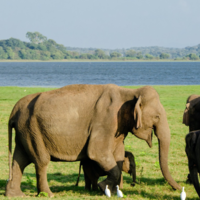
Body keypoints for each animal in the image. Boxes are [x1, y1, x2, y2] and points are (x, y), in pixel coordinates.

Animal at [4, 84, 180, 197]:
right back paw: (48, 194)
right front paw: (103, 188)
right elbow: (96, 152)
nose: (179, 189)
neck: (129, 92)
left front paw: (113, 191)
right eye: (157, 117)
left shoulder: (117, 128)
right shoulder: (105, 121)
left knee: (20, 159)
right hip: (32, 130)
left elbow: (118, 155)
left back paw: (15, 195)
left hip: (24, 131)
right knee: (41, 161)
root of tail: (13, 112)